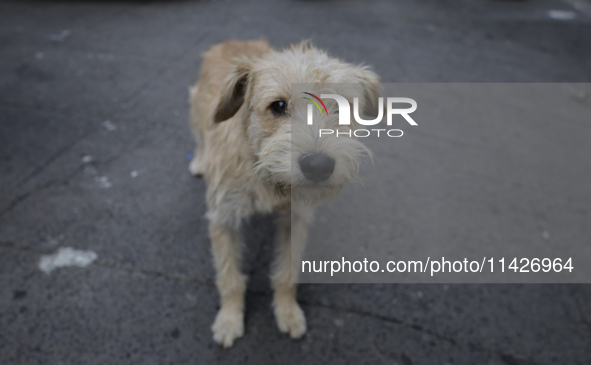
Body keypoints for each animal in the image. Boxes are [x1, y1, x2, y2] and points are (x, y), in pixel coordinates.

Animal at [192, 39, 382, 346]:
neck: (264, 175)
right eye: (278, 106)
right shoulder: (223, 217)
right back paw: (199, 160)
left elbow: (287, 273)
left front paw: (287, 311)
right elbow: (229, 277)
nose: (318, 166)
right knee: (199, 135)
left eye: (343, 108)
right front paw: (229, 319)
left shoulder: (296, 219)